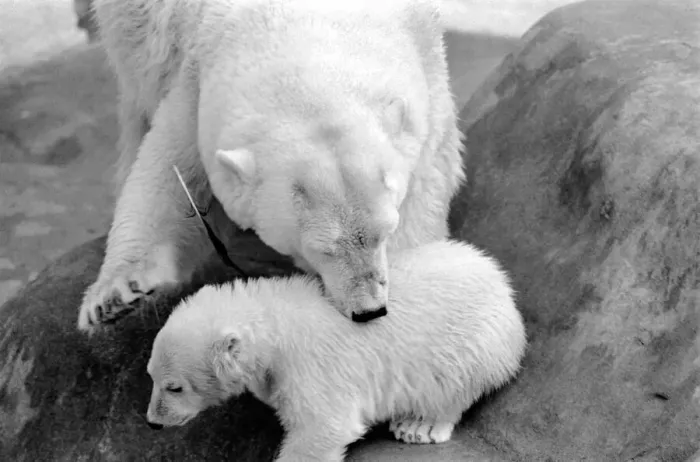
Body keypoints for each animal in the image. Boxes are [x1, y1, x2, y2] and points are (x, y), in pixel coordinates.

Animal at [77, 0, 464, 333]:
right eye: (321, 249)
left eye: (384, 232)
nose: (369, 309)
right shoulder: (196, 79)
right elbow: (167, 172)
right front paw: (116, 296)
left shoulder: (428, 69)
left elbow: (427, 185)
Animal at [145, 240, 527, 462]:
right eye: (150, 376)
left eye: (174, 387)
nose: (152, 423)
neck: (275, 324)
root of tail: (504, 285)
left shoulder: (313, 368)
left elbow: (324, 428)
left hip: (471, 338)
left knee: (455, 382)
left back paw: (419, 426)